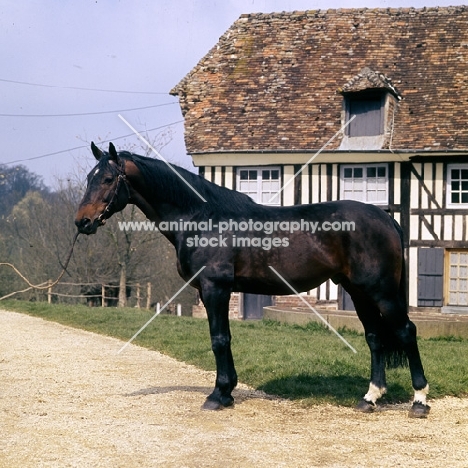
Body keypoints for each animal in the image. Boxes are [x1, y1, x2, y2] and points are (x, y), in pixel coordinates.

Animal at [75, 142, 430, 416]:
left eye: (108, 178)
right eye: (89, 178)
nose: (82, 222)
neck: (202, 218)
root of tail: (384, 216)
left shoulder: (215, 288)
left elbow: (219, 339)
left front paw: (218, 395)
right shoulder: (213, 292)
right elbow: (225, 338)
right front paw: (227, 392)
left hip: (382, 292)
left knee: (406, 331)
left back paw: (419, 402)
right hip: (359, 292)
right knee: (375, 338)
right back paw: (369, 398)